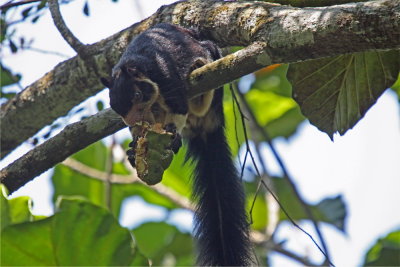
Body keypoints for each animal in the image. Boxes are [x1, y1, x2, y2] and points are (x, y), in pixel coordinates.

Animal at [101, 24, 252, 266]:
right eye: (113, 105)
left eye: (137, 94)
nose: (132, 120)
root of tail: (206, 128)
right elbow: (141, 129)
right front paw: (135, 148)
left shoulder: (167, 77)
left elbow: (178, 107)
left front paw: (172, 132)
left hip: (211, 89)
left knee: (202, 99)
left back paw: (198, 68)